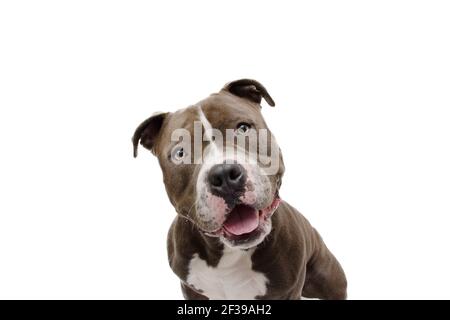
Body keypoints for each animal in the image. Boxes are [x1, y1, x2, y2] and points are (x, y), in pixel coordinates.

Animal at [132, 79, 346, 298]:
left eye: (243, 128)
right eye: (180, 153)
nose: (224, 175)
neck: (229, 254)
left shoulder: (289, 290)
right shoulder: (190, 289)